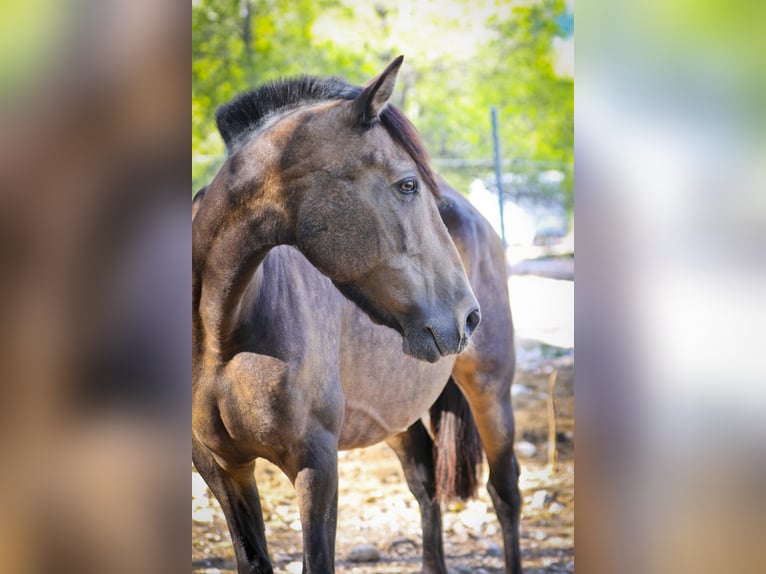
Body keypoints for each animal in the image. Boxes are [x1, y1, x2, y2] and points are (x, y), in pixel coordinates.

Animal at [195, 59, 524, 574]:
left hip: (491, 390)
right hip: (394, 413)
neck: (220, 335)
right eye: (408, 184)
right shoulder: (220, 467)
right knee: (426, 485)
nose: (468, 317)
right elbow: (253, 559)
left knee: (504, 492)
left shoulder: (316, 464)